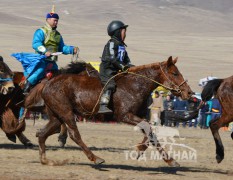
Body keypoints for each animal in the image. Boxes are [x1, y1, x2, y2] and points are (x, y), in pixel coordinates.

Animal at [31, 56, 194, 166]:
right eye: (174, 73)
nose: (189, 92)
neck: (135, 85)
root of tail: (47, 83)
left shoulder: (137, 116)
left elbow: (151, 130)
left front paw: (167, 159)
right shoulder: (125, 116)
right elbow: (148, 126)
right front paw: (141, 150)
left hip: (56, 117)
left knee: (42, 133)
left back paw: (45, 160)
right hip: (66, 113)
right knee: (74, 134)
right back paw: (96, 158)